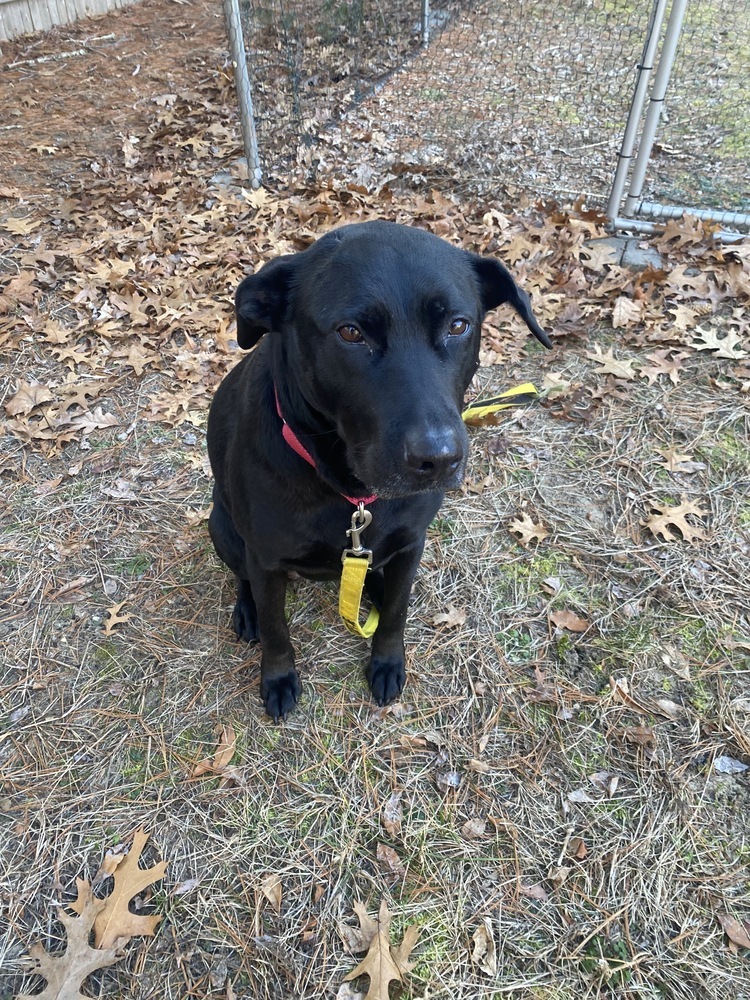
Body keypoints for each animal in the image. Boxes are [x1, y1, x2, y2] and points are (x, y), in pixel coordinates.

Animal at [209, 221, 548, 720]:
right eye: (351, 333)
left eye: (458, 325)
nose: (438, 459)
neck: (350, 492)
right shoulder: (267, 558)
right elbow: (276, 630)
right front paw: (278, 677)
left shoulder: (410, 544)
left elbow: (396, 613)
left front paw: (387, 660)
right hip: (223, 528)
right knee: (243, 578)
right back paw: (247, 608)